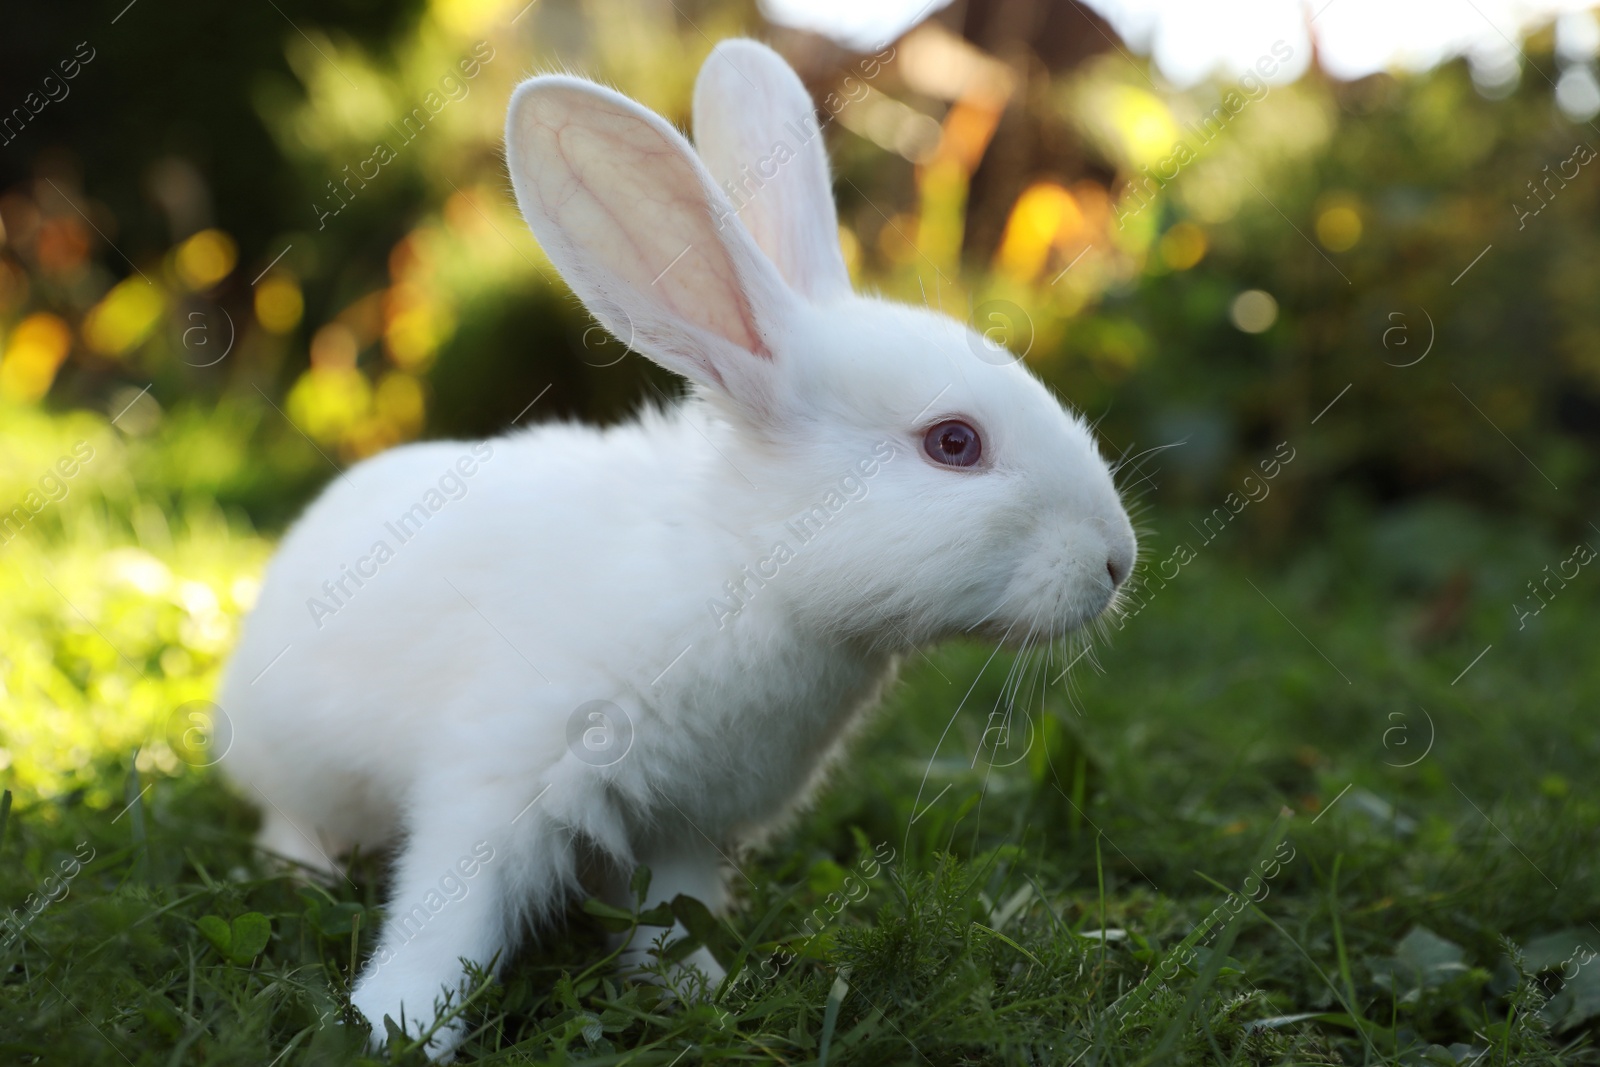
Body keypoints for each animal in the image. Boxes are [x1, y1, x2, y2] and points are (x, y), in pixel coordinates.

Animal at [212, 35, 1139, 1062]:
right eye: (953, 443)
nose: (1117, 561)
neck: (749, 570)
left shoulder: (681, 831)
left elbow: (672, 926)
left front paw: (705, 998)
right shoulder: (496, 783)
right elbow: (447, 919)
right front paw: (396, 1025)